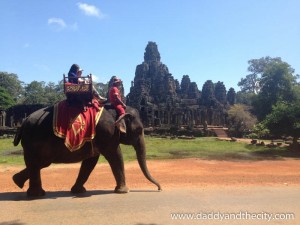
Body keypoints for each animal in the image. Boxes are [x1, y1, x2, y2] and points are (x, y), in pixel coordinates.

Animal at [12, 104, 162, 197]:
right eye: (139, 130)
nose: (159, 188)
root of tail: (24, 122)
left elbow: (90, 161)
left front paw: (78, 191)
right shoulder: (108, 133)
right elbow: (115, 155)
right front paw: (124, 191)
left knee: (40, 164)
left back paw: (17, 182)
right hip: (33, 140)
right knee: (37, 163)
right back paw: (36, 193)